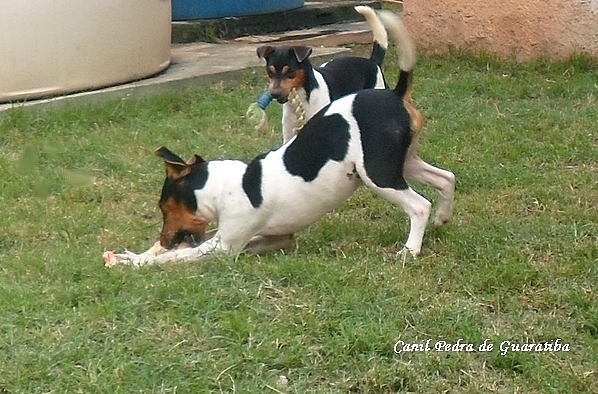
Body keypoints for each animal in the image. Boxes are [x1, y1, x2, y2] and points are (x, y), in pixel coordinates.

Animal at [254, 5, 390, 144]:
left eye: (290, 72)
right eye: (270, 72)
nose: (274, 94)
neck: (304, 98)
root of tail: (373, 62)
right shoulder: (289, 136)